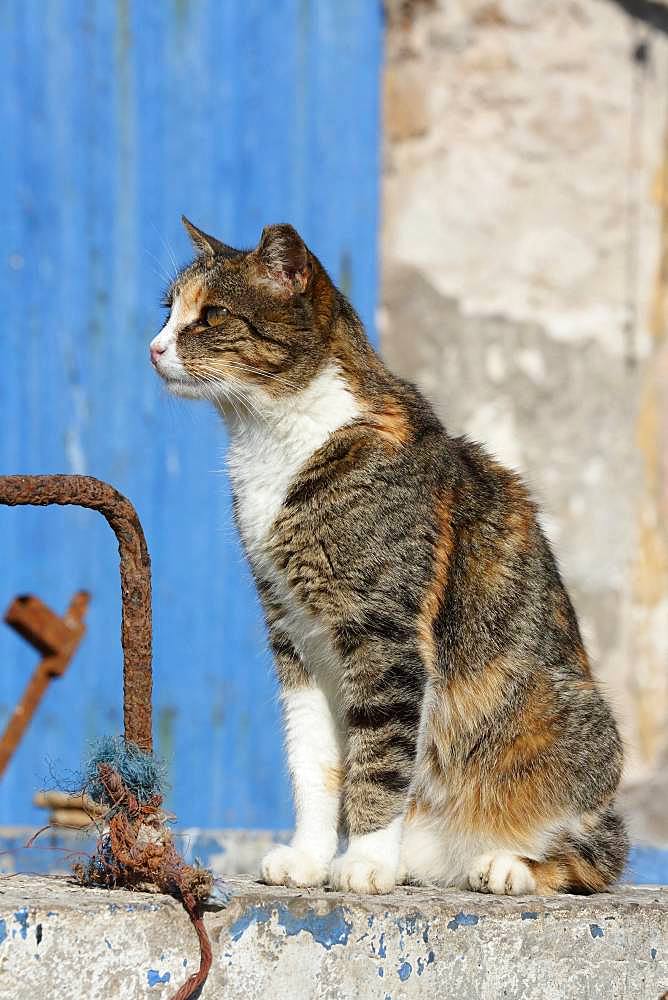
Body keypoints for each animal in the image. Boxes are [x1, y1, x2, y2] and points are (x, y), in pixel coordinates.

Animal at [150, 215, 628, 896]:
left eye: (212, 316)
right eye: (169, 311)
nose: (154, 346)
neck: (275, 440)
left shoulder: (386, 637)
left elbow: (378, 756)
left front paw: (366, 861)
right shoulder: (293, 635)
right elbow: (314, 760)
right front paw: (311, 856)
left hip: (567, 725)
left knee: (599, 853)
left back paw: (504, 864)